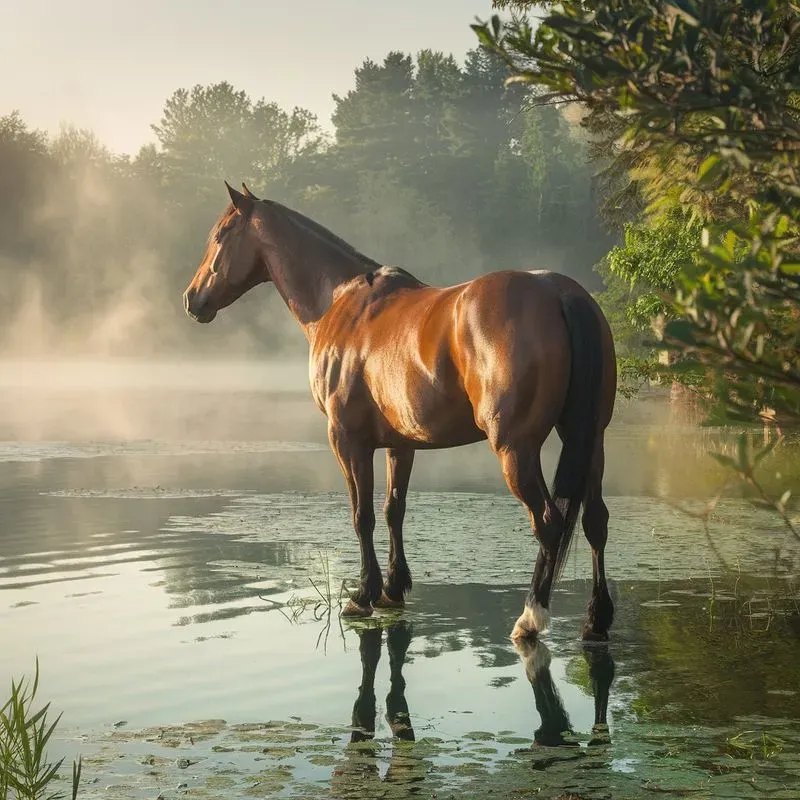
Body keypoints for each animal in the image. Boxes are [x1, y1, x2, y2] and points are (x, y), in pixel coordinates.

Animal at [183, 182, 617, 641]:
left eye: (220, 236)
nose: (192, 299)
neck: (340, 301)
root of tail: (560, 292)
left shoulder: (347, 440)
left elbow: (363, 516)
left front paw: (363, 594)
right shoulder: (400, 444)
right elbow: (394, 511)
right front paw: (393, 588)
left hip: (516, 449)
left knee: (548, 523)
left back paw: (531, 617)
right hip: (591, 440)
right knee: (596, 522)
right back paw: (596, 620)